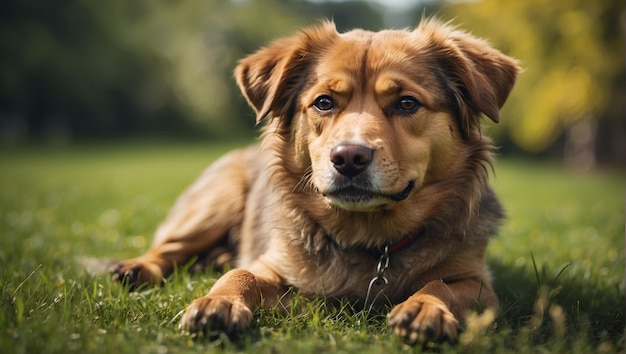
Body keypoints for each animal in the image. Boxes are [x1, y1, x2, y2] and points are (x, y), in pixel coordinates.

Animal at [111, 18, 516, 344]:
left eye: (406, 103)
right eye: (324, 102)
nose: (349, 157)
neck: (368, 238)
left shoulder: (479, 285)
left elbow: (441, 285)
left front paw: (425, 306)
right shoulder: (273, 266)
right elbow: (242, 273)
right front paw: (219, 301)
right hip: (215, 203)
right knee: (170, 247)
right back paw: (138, 268)